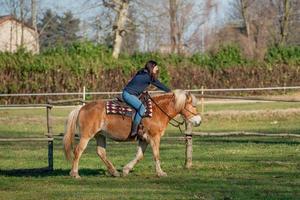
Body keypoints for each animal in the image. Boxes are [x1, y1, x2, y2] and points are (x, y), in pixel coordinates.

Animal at [62, 89, 202, 178]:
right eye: (193, 105)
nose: (199, 120)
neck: (157, 111)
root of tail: (82, 107)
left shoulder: (144, 139)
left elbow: (139, 156)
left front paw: (126, 170)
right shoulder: (154, 137)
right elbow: (156, 155)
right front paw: (160, 173)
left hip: (100, 135)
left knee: (101, 152)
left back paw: (114, 172)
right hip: (86, 136)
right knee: (78, 151)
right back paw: (75, 173)